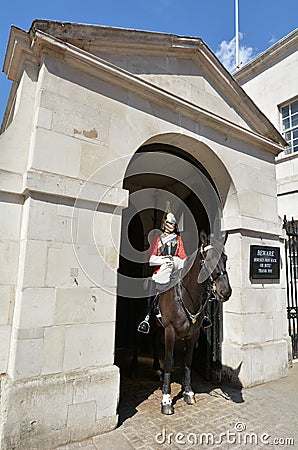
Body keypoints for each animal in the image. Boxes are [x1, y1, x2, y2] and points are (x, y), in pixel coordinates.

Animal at [151, 232, 233, 414]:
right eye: (209, 259)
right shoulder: (170, 331)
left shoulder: (193, 334)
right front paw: (166, 400)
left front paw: (188, 392)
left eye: (225, 258)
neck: (189, 297)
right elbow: (168, 361)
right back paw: (156, 370)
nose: (226, 292)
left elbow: (188, 361)